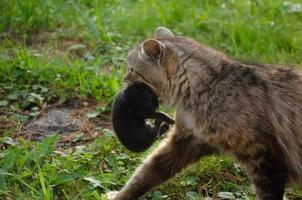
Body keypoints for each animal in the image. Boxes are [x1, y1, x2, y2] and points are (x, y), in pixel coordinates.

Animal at [108, 27, 302, 200]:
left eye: (132, 70)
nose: (123, 79)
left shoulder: (264, 159)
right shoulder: (186, 141)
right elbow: (142, 176)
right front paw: (118, 196)